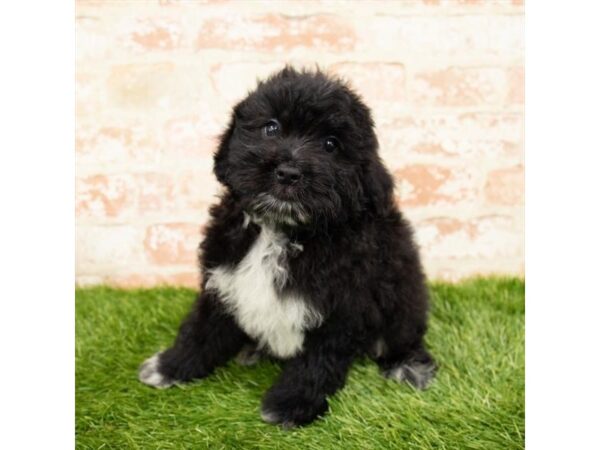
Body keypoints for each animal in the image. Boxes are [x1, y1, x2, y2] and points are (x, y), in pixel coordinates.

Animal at [143, 66, 438, 426]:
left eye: (330, 144)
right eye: (271, 127)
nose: (288, 172)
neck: (280, 230)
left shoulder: (341, 306)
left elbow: (318, 359)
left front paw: (291, 403)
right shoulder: (223, 281)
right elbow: (200, 329)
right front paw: (169, 367)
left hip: (403, 288)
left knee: (403, 331)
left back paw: (407, 363)